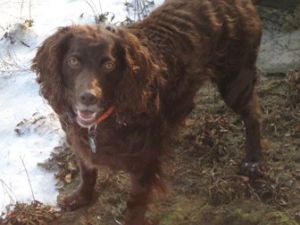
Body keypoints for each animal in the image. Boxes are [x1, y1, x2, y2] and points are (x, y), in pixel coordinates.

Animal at [31, 0, 262, 224]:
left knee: (252, 115)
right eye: (73, 61)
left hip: (235, 81)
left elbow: (136, 201)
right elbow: (87, 173)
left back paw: (253, 160)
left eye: (108, 65)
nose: (89, 97)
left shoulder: (145, 161)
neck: (106, 120)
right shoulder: (80, 144)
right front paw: (80, 198)